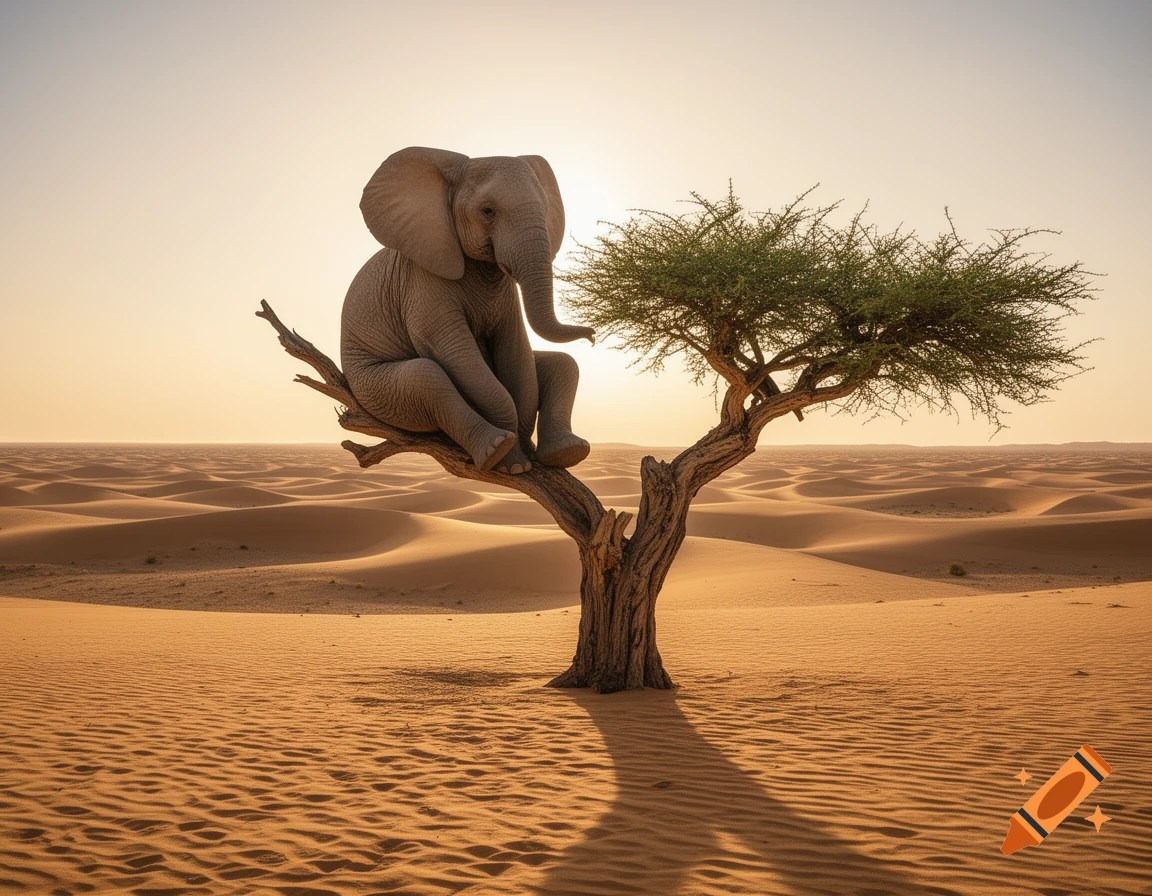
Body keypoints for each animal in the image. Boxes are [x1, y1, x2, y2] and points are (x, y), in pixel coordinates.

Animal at [340, 146, 595, 474]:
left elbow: (516, 349)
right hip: (373, 391)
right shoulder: (422, 281)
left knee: (563, 365)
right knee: (425, 377)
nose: (592, 336)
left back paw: (567, 453)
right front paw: (513, 465)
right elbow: (453, 349)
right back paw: (493, 452)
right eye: (488, 211)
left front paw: (523, 454)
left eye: (546, 207)